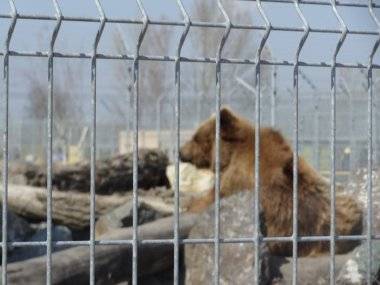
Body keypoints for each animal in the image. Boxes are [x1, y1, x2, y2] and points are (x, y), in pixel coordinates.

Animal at [180, 106, 364, 255]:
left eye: (195, 137)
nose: (180, 151)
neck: (231, 154)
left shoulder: (237, 179)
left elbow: (208, 199)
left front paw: (188, 204)